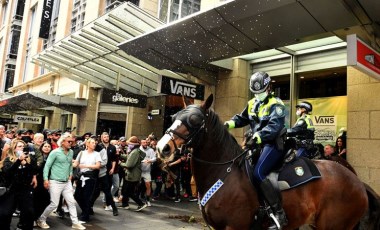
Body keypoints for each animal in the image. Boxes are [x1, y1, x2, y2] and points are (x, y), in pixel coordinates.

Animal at [156, 94, 378, 230]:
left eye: (195, 120)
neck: (225, 174)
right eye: (174, 116)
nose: (162, 147)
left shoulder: (234, 226)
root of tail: (358, 182)